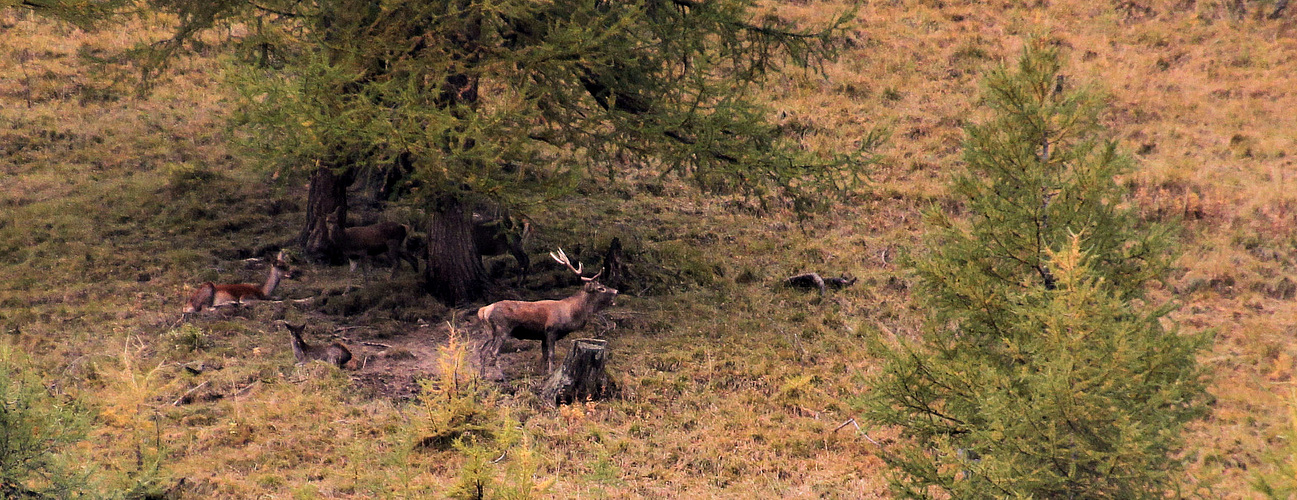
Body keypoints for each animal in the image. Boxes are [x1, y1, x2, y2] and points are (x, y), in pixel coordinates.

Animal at [479, 247, 619, 380]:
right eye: (601, 288)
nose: (616, 291)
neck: (570, 313)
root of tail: (484, 311)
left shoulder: (543, 336)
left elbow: (544, 355)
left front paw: (542, 373)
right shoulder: (551, 330)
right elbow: (552, 354)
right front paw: (551, 372)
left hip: (490, 332)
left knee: (482, 350)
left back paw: (482, 375)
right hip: (503, 328)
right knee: (493, 351)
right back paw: (502, 376)